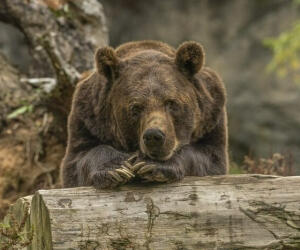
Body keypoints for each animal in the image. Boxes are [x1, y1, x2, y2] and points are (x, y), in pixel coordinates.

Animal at [62, 40, 229, 188]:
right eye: (136, 108)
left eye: (171, 102)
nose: (154, 136)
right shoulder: (88, 118)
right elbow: (78, 160)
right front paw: (117, 168)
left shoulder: (211, 117)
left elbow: (209, 158)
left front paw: (152, 165)